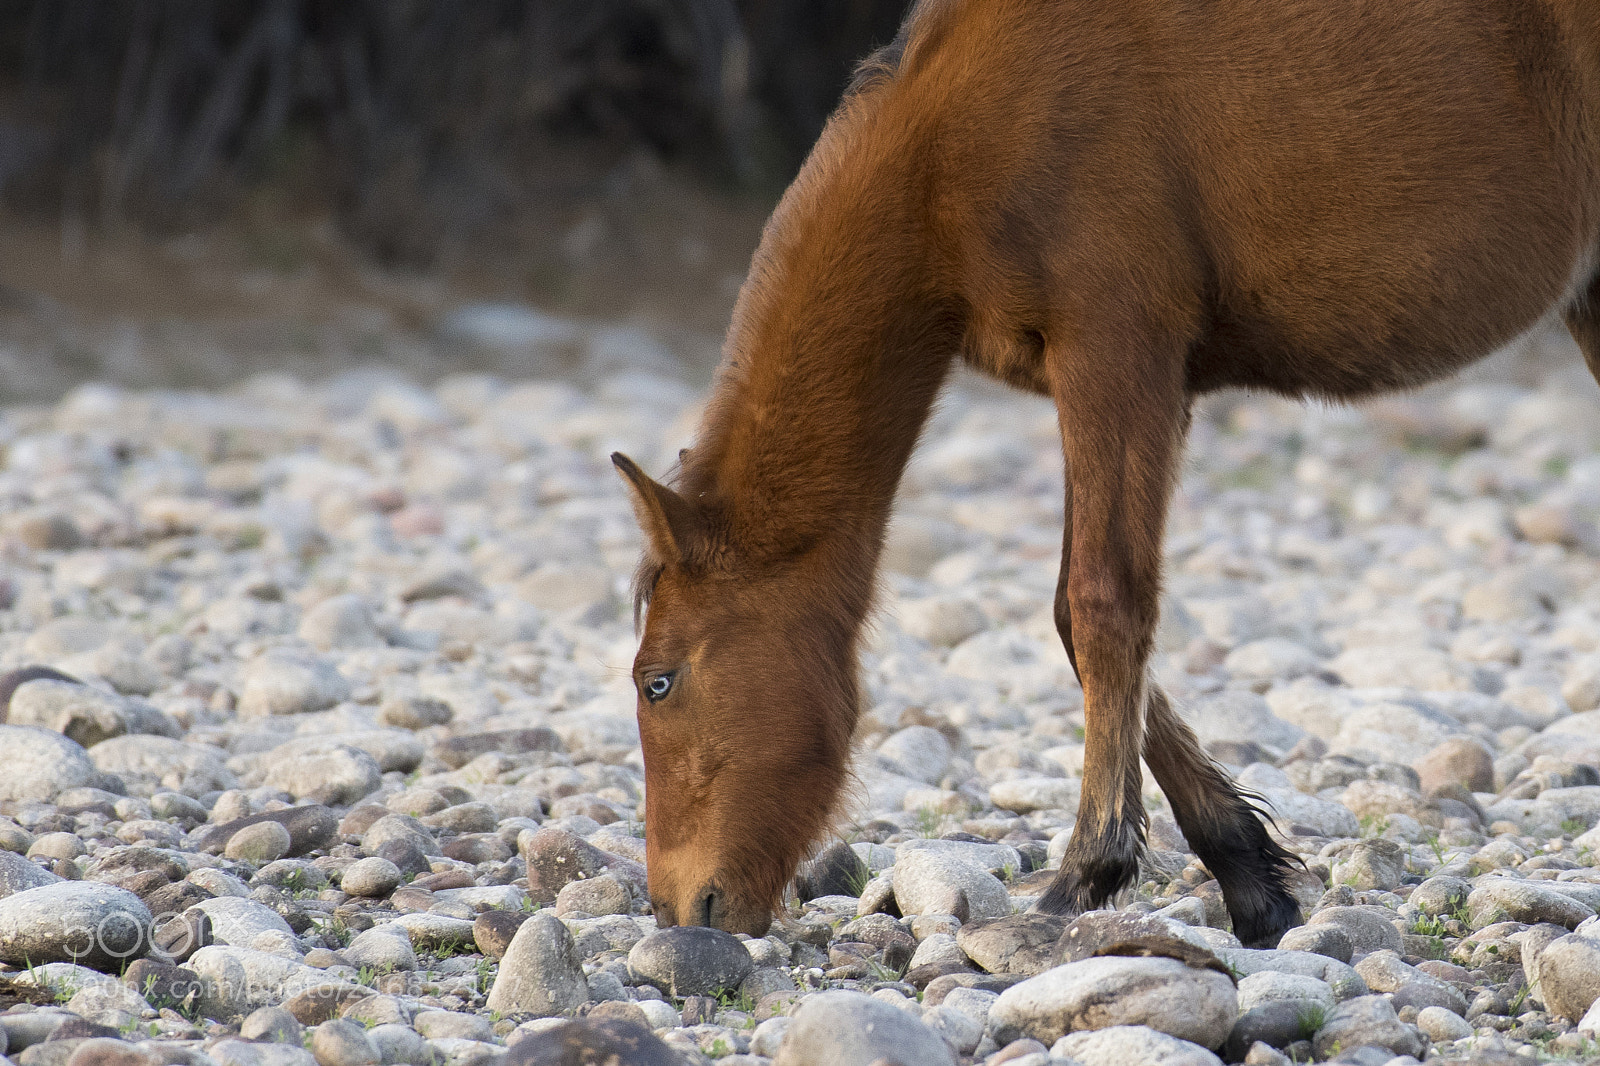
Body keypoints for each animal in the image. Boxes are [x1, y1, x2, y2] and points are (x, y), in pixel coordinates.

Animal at [612, 0, 1600, 947]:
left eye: (659, 682)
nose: (675, 912)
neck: (951, 151)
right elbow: (1082, 615)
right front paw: (1247, 872)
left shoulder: (1116, 353)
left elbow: (1101, 604)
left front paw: (1085, 876)